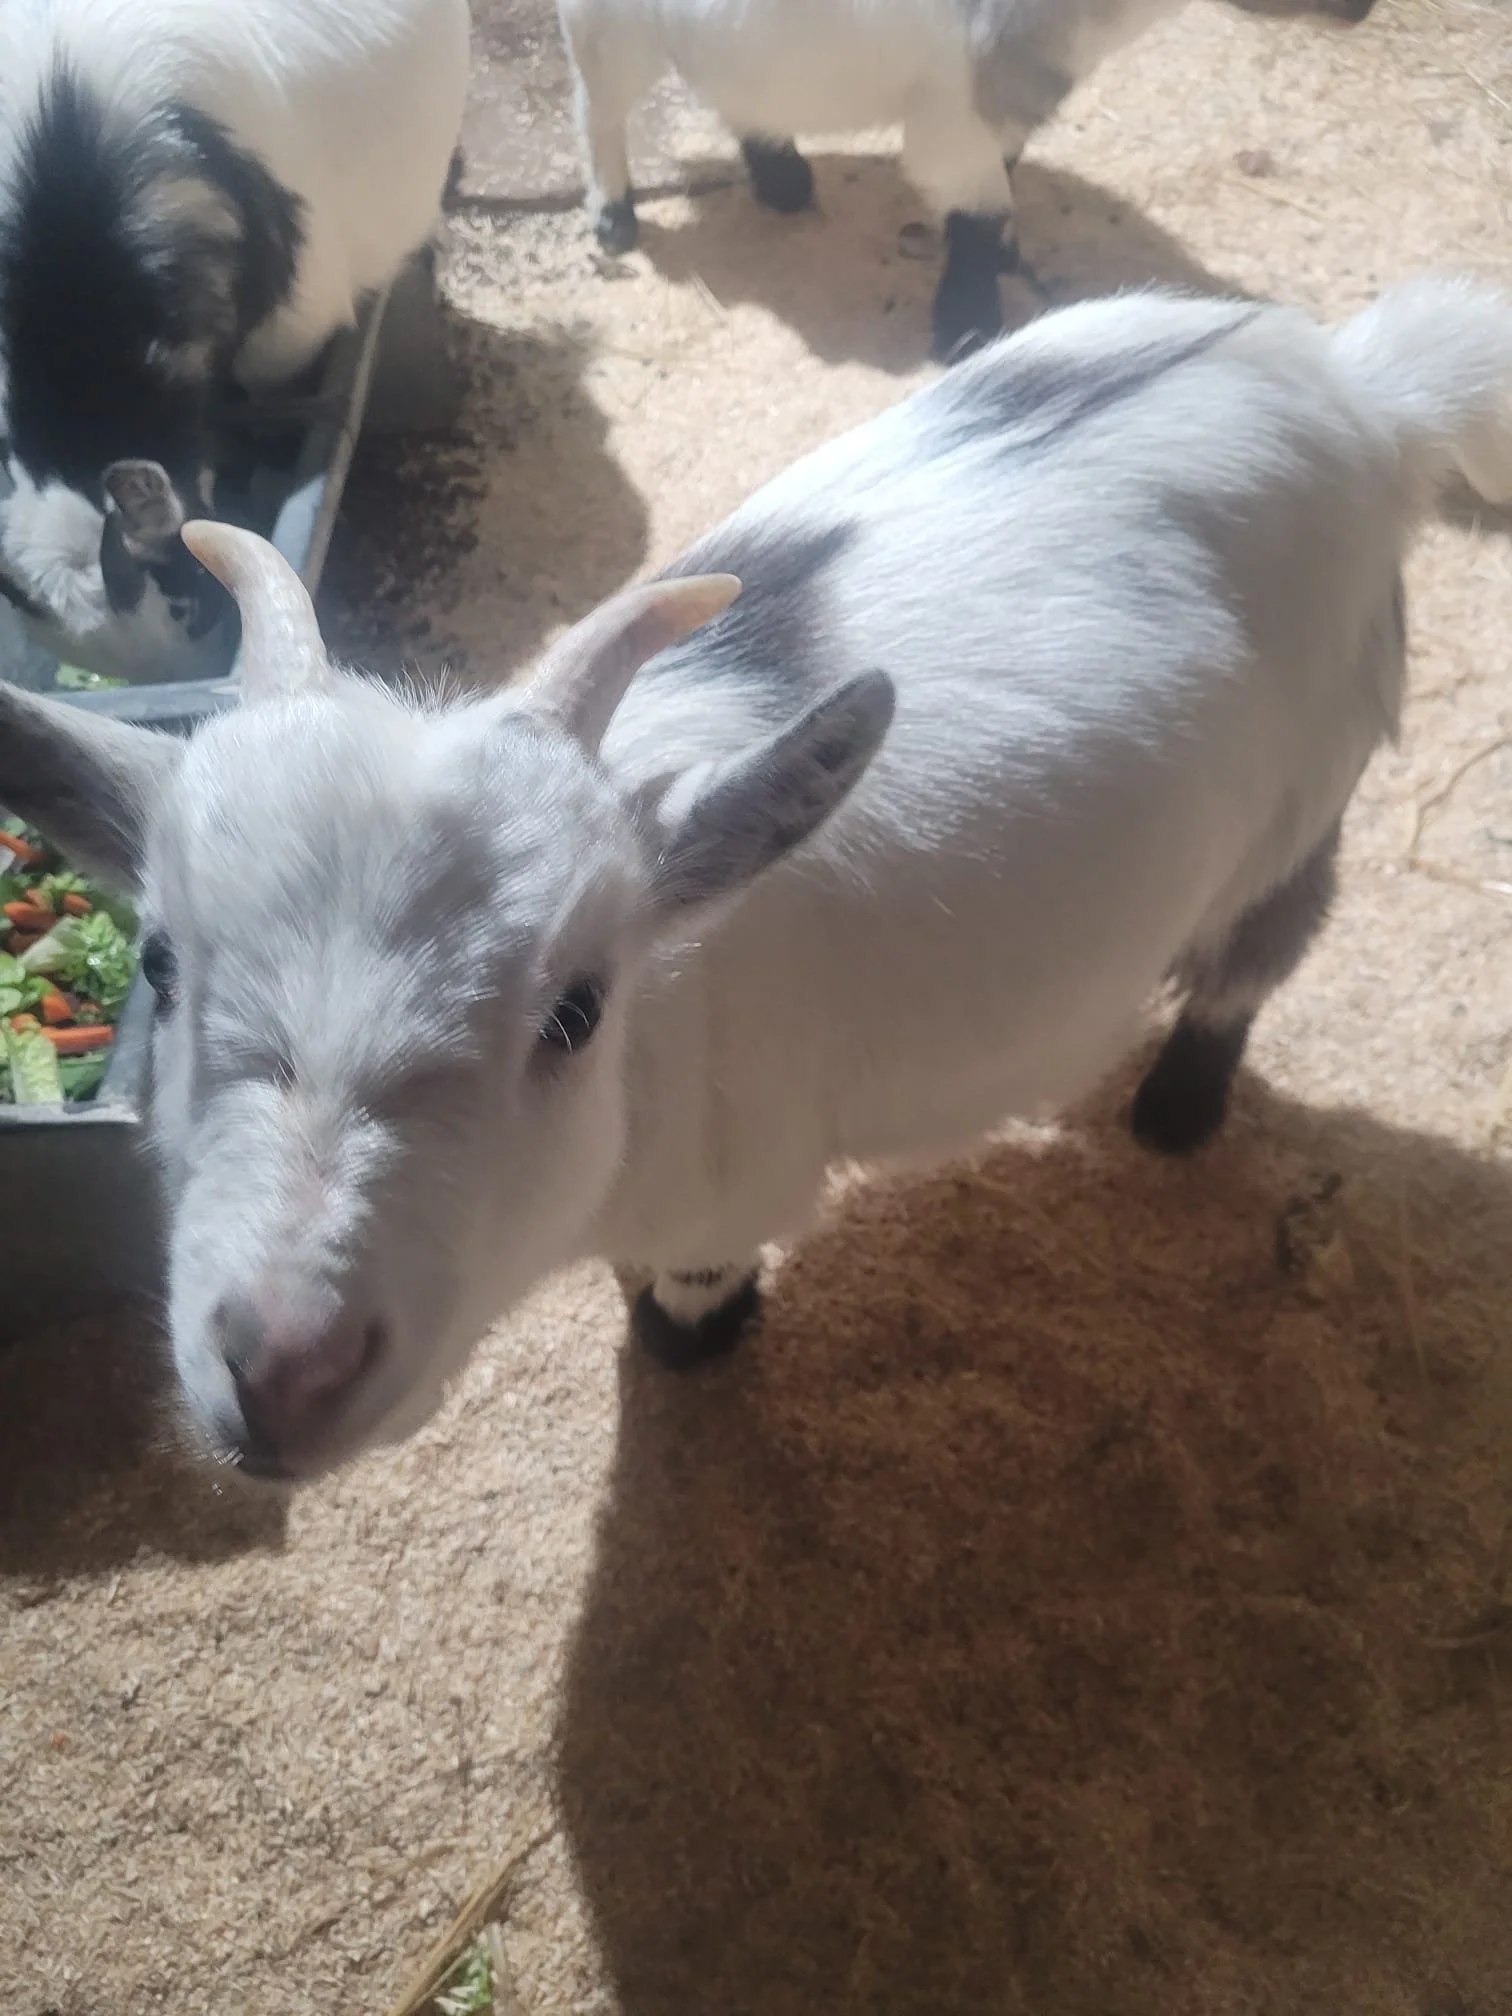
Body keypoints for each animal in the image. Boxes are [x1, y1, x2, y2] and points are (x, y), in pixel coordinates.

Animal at [2, 273, 1509, 1484]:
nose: (285, 1373)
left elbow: (692, 1295)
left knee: (1259, 949)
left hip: (1311, 786)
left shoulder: (730, 1192)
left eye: (576, 1011)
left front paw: (695, 1346)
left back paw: (1178, 1113)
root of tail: (1360, 388)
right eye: (160, 965)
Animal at [557, 0, 1379, 362]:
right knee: (598, 112)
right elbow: (976, 217)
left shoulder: (1004, 110)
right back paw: (616, 220)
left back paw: (784, 180)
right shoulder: (956, 117)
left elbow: (1001, 195)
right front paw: (969, 326)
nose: (1364, 6)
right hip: (607, 31)